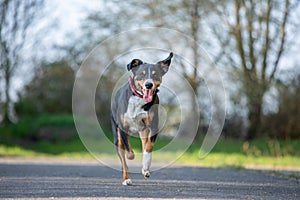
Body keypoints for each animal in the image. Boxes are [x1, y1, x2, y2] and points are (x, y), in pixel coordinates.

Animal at [111, 52, 173, 186]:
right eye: (142, 74)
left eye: (155, 74)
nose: (148, 84)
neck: (138, 98)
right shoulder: (123, 127)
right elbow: (129, 151)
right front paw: (131, 156)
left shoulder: (153, 126)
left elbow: (148, 148)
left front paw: (145, 167)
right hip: (117, 135)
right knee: (123, 158)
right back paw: (126, 179)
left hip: (143, 130)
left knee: (145, 144)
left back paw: (145, 168)